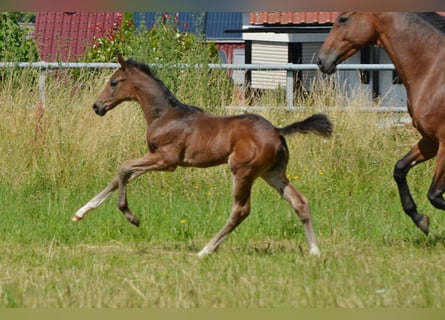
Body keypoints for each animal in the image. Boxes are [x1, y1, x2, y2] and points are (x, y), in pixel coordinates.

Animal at [71, 53, 332, 256]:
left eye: (114, 82)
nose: (97, 106)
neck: (165, 115)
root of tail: (277, 131)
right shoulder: (154, 157)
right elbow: (120, 177)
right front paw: (80, 212)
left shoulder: (167, 160)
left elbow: (124, 167)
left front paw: (131, 217)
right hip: (273, 174)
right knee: (300, 202)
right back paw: (315, 251)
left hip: (242, 171)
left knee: (241, 210)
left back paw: (206, 250)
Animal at [318, 11, 445, 235]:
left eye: (343, 18)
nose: (321, 60)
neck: (434, 74)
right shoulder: (431, 140)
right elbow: (400, 169)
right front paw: (421, 219)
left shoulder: (444, 142)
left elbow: (435, 194)